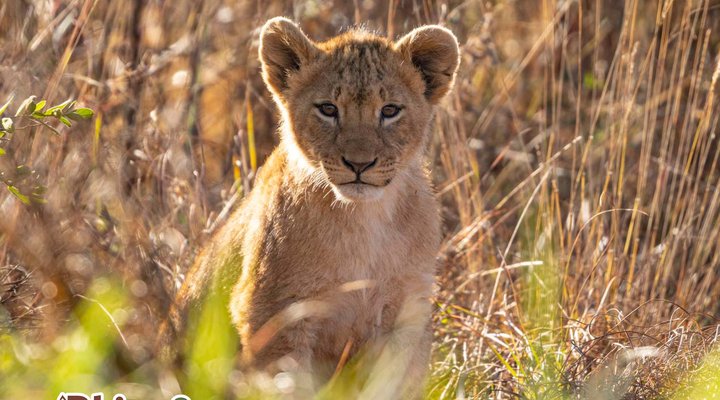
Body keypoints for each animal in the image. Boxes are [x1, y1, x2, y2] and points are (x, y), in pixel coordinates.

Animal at [162, 17, 460, 399]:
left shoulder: (405, 311)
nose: (359, 164)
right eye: (328, 109)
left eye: (390, 110)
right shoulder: (274, 312)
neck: (364, 220)